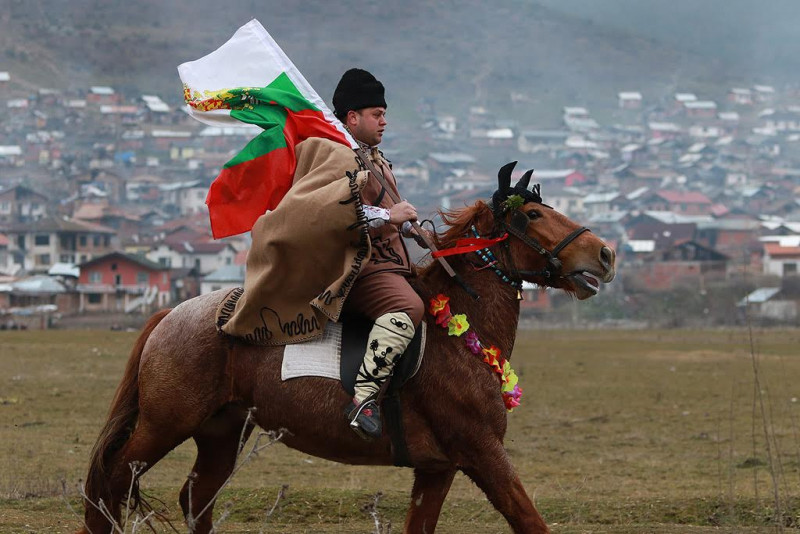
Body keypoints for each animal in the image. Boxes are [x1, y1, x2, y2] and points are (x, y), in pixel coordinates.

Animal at [81, 169, 616, 534]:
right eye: (533, 214)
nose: (606, 254)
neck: (459, 333)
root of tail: (173, 313)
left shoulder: (438, 467)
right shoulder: (482, 452)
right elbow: (529, 520)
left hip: (221, 430)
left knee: (196, 498)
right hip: (165, 423)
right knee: (113, 479)